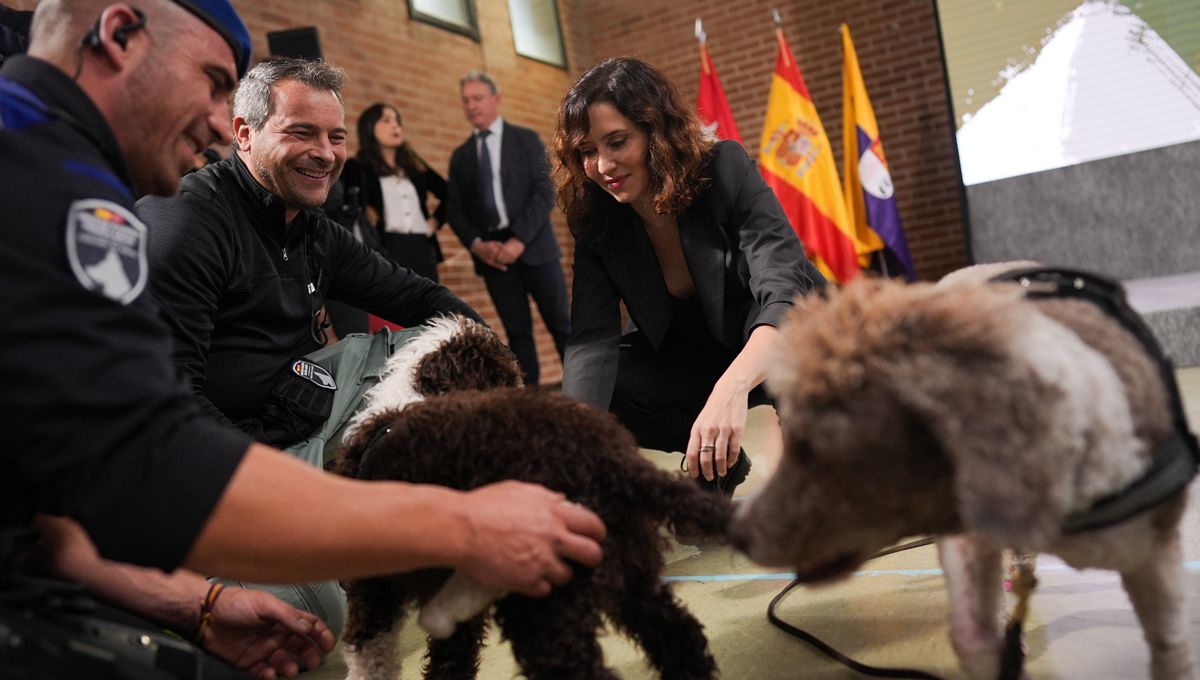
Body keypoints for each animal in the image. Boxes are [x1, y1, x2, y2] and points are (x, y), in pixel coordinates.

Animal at [331, 316, 729, 680]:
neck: (412, 398)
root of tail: (605, 457)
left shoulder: (374, 592)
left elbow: (375, 657)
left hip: (542, 595)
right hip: (630, 567)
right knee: (677, 635)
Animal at [729, 267, 1190, 680]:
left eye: (812, 449)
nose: (735, 532)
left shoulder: (1155, 553)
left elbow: (1171, 647)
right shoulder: (966, 536)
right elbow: (971, 635)